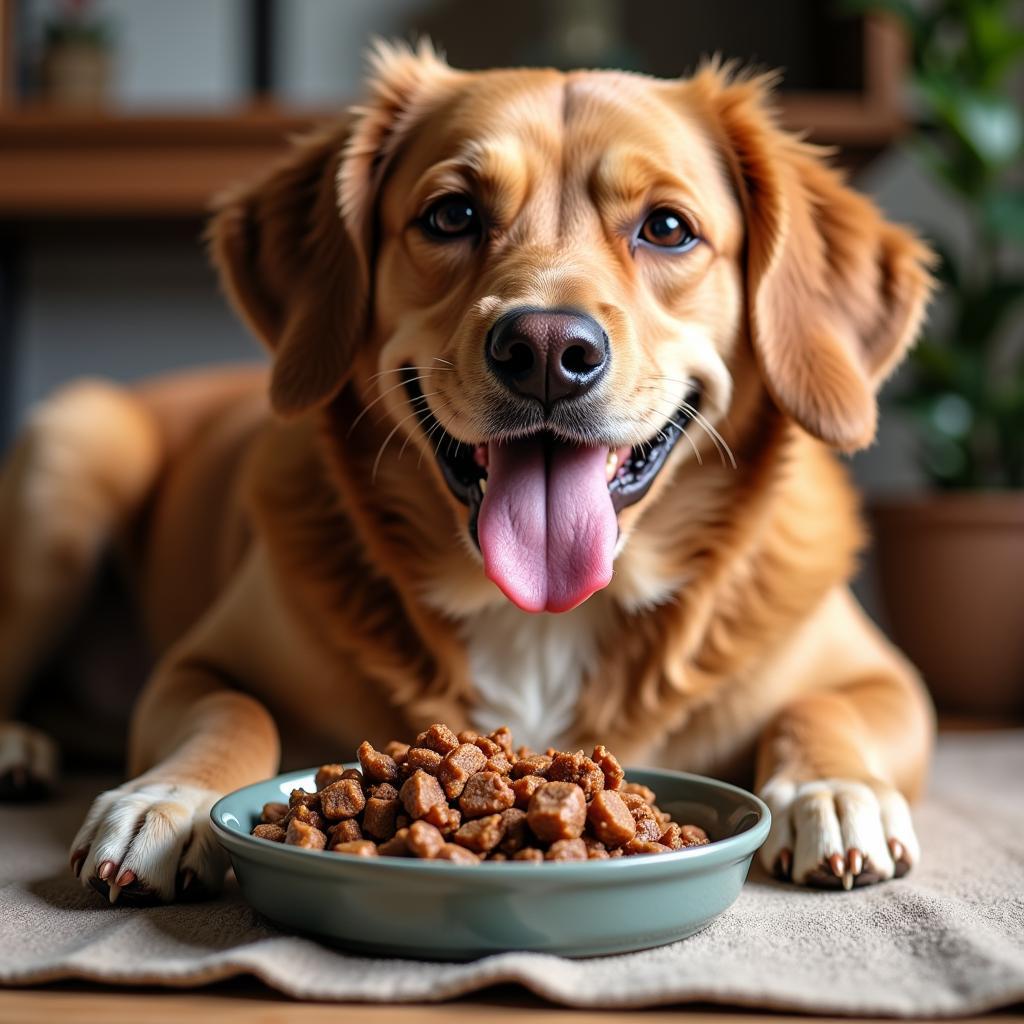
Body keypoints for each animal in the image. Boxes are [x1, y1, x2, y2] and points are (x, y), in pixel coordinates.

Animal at [0, 44, 933, 901]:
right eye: (452, 214)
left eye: (667, 228)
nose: (548, 351)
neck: (542, 619)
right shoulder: (197, 664)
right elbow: (231, 711)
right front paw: (169, 798)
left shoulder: (887, 680)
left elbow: (823, 706)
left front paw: (832, 790)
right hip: (69, 461)